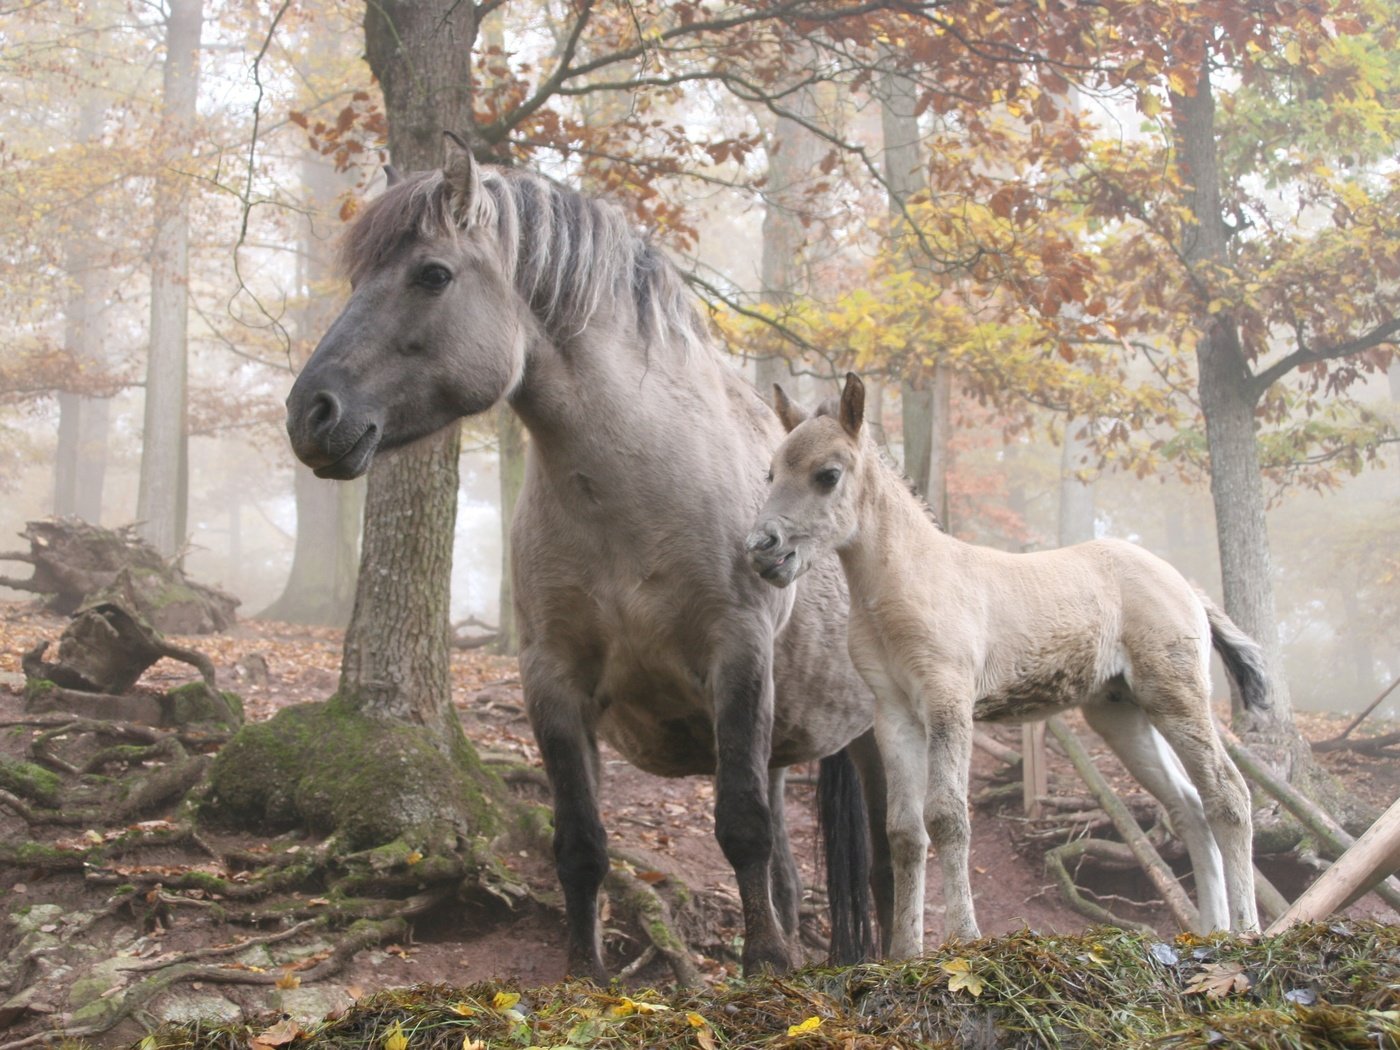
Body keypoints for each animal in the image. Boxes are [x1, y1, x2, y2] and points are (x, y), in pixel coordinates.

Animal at [288, 146, 890, 980]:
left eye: (432, 275)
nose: (310, 415)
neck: (634, 496)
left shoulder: (737, 656)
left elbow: (740, 826)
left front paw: (765, 966)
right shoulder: (554, 679)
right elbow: (580, 842)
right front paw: (586, 973)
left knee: (893, 860)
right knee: (790, 864)